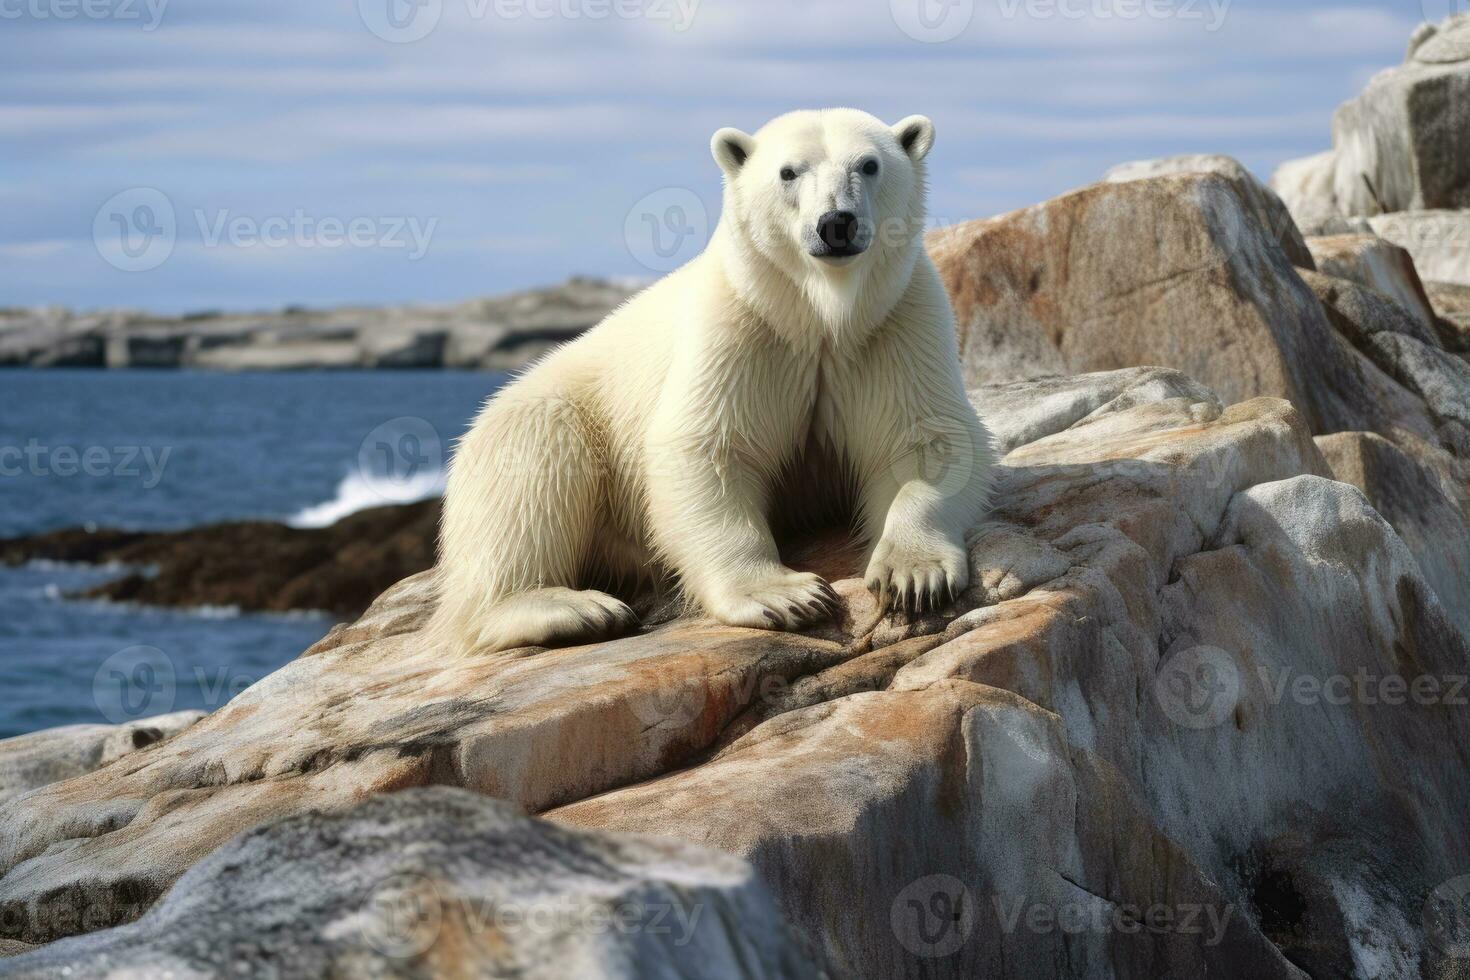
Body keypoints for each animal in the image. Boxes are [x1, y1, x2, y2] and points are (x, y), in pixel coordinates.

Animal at [429, 107, 993, 655]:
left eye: (869, 165)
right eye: (788, 172)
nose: (836, 223)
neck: (819, 315)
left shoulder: (896, 321)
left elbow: (926, 438)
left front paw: (913, 575)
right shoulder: (738, 323)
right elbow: (707, 446)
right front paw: (787, 596)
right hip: (542, 416)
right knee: (530, 474)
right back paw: (573, 608)